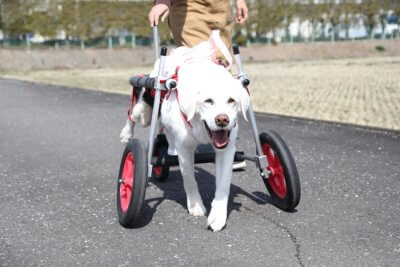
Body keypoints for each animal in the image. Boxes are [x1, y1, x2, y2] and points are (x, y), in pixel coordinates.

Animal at [120, 31, 248, 232]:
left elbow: (223, 185)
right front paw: (196, 206)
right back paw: (126, 134)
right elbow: (189, 179)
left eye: (232, 100)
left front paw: (218, 216)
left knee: (167, 134)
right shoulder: (186, 149)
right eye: (208, 101)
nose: (222, 120)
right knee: (132, 114)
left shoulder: (227, 150)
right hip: (145, 111)